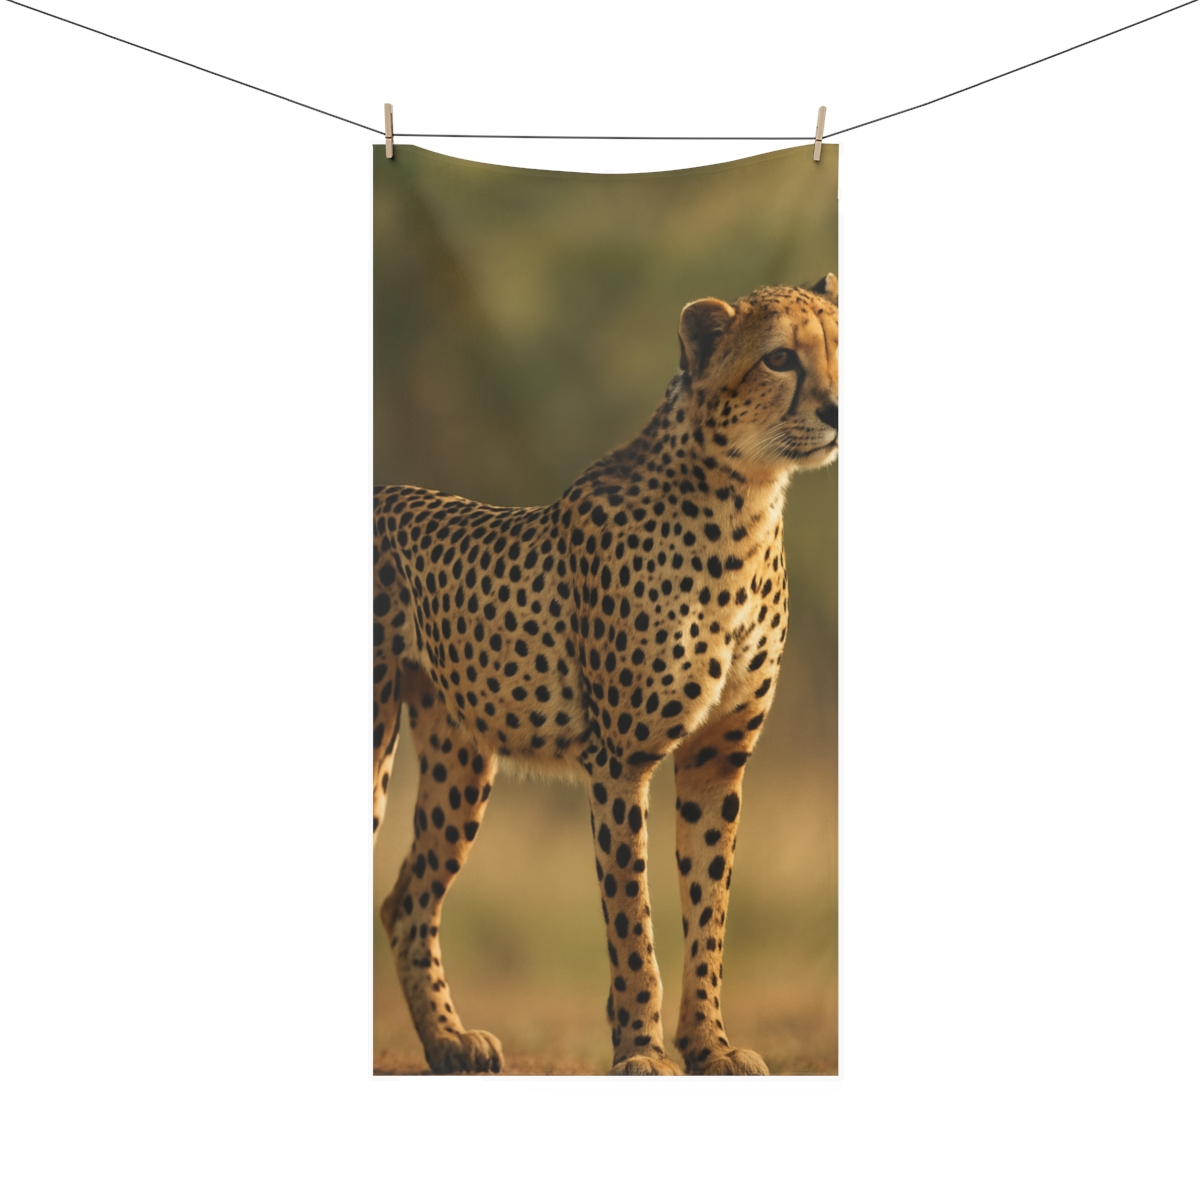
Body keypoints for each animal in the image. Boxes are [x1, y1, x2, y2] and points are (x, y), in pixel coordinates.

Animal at [374, 275, 839, 1075]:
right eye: (780, 357)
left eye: (841, 346)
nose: (837, 409)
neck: (744, 500)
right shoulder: (620, 759)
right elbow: (632, 919)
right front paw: (642, 1050)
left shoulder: (717, 759)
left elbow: (708, 911)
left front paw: (710, 1045)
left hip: (460, 758)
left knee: (406, 901)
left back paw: (448, 1040)